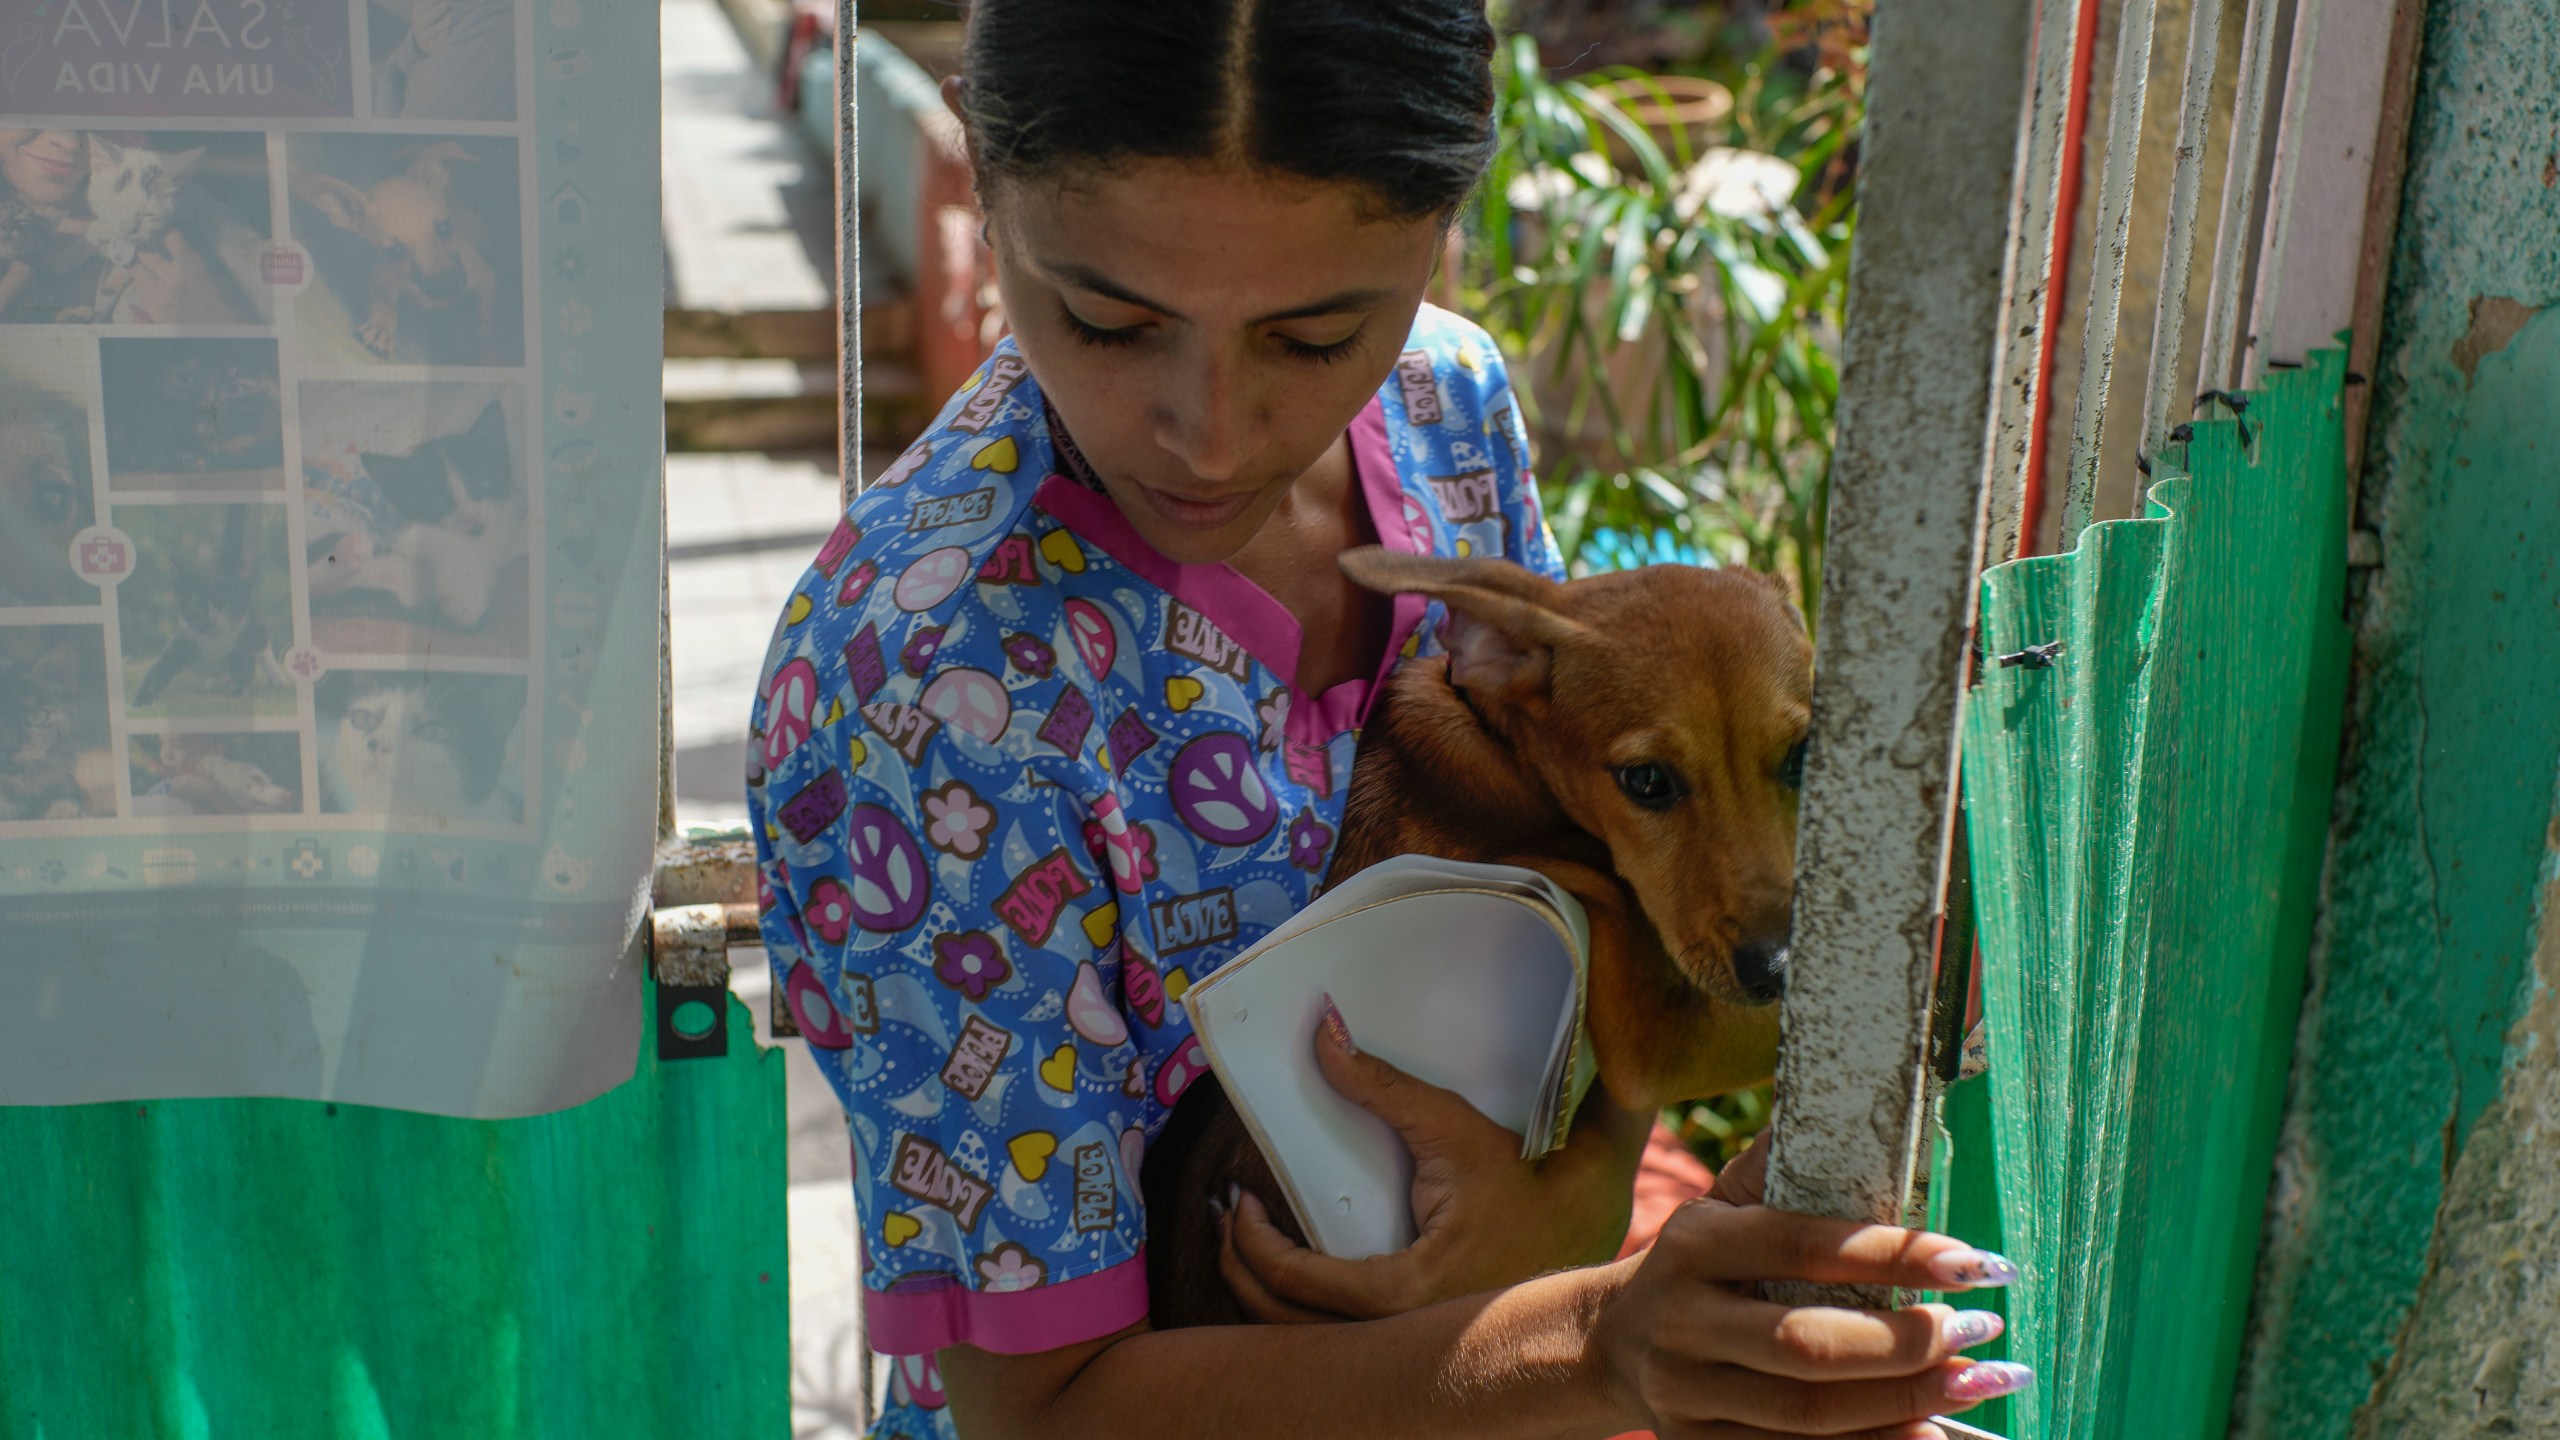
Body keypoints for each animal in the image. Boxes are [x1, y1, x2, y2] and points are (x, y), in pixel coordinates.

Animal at [293, 140, 496, 361]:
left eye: (445, 226)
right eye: (396, 251)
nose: (448, 288)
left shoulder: (485, 282)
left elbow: (484, 331)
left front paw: (489, 356)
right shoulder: (381, 279)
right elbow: (384, 303)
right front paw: (381, 327)